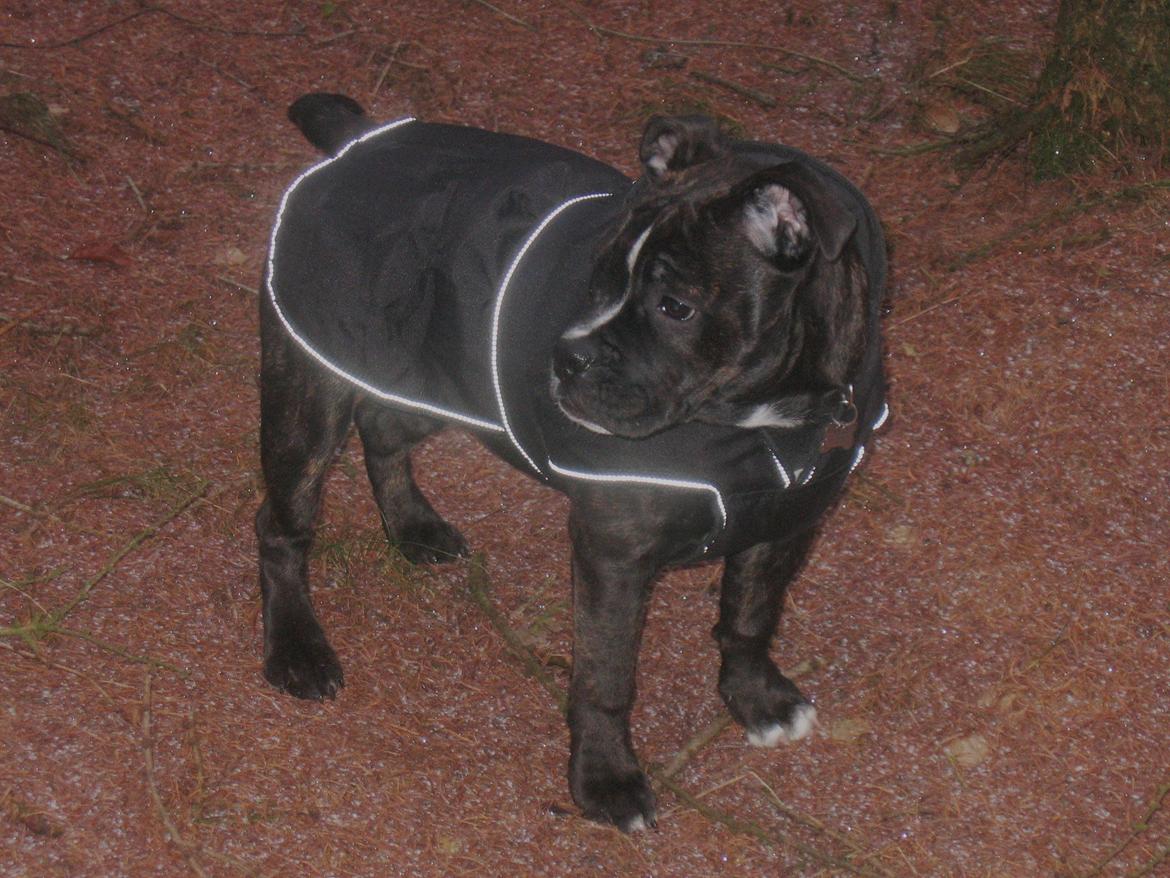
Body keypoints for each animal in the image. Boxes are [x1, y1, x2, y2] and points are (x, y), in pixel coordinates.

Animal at [256, 94, 884, 833]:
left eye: (675, 306)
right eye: (597, 276)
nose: (567, 356)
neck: (765, 424)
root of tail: (355, 142)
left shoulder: (786, 523)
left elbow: (751, 616)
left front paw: (756, 697)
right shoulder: (614, 554)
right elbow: (606, 677)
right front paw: (605, 779)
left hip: (446, 380)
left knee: (381, 426)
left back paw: (413, 526)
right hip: (310, 397)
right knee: (282, 525)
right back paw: (296, 648)